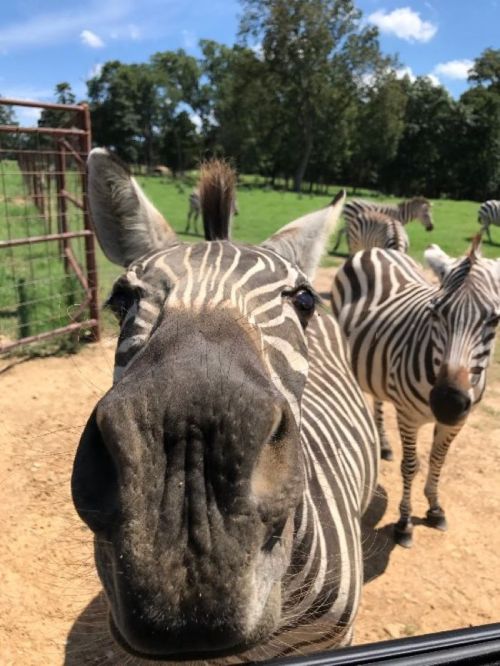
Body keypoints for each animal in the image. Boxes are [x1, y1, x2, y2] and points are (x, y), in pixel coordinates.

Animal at [331, 239, 500, 548]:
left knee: (377, 397)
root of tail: (377, 249)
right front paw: (404, 524)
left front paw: (435, 508)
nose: (447, 403)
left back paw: (384, 445)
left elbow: (437, 460)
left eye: (494, 320)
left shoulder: (457, 422)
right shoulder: (408, 416)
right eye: (435, 313)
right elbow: (410, 466)